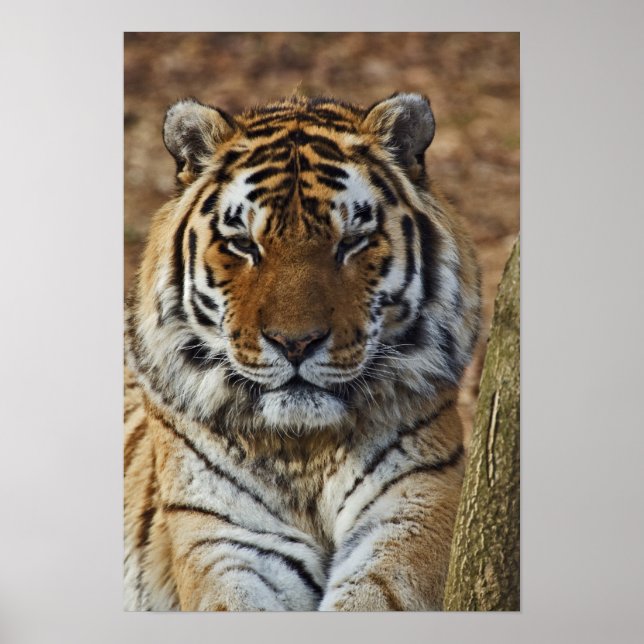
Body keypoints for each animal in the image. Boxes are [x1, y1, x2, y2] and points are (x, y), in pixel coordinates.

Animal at [124, 92, 480, 611]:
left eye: (351, 241)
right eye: (243, 244)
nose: (296, 343)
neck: (303, 450)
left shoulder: (413, 508)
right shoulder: (227, 538)